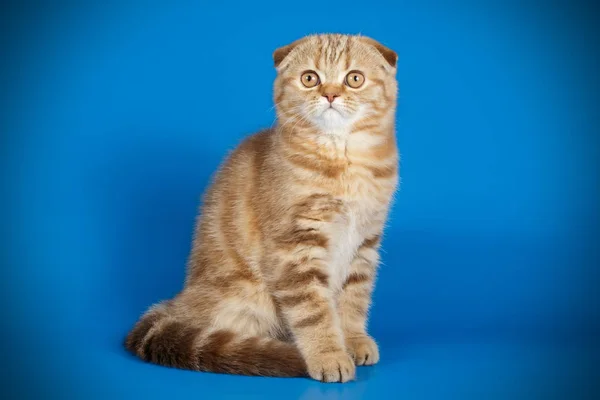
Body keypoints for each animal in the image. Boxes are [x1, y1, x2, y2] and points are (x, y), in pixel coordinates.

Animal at [125, 32, 398, 382]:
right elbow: (314, 311)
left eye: (354, 79)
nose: (330, 94)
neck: (343, 159)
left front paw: (352, 339)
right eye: (310, 78)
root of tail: (179, 303)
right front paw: (329, 355)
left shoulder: (365, 242)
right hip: (246, 297)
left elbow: (354, 298)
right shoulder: (295, 248)